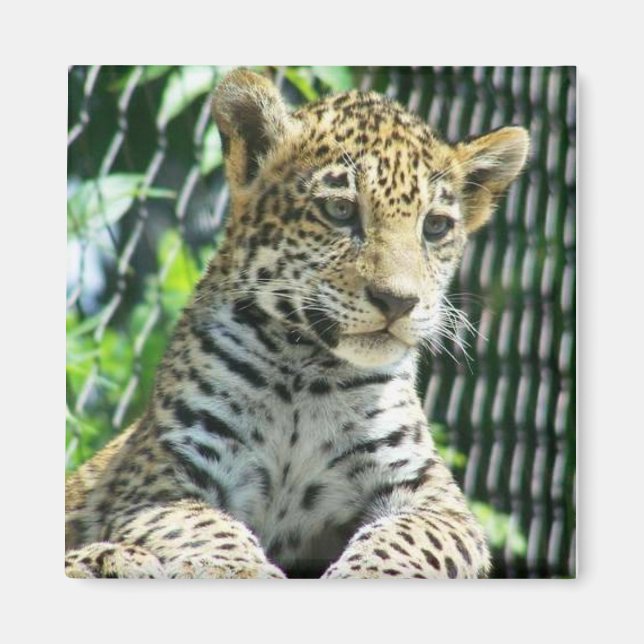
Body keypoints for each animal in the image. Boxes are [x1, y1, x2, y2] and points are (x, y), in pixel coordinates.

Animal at [65, 68, 529, 579]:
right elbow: (209, 529)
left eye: (435, 227)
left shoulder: (435, 499)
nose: (398, 301)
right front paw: (240, 570)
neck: (307, 376)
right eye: (340, 211)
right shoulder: (160, 479)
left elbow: (403, 541)